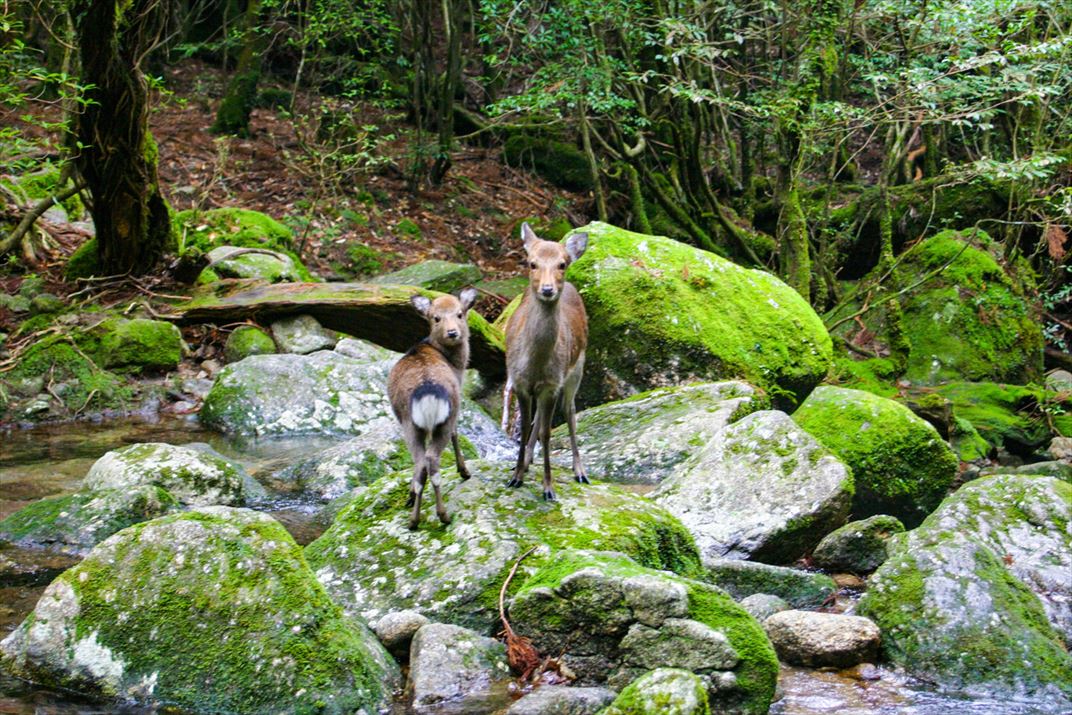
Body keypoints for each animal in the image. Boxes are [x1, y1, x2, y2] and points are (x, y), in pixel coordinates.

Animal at [388, 288, 478, 530]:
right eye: (436, 318)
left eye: (459, 313)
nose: (452, 332)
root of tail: (427, 391)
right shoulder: (457, 406)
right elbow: (457, 433)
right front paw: (464, 471)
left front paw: (409, 497)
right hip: (443, 418)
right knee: (432, 460)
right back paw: (443, 515)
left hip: (409, 423)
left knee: (420, 462)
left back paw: (413, 519)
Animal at [505, 222, 589, 501]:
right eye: (532, 263)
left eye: (562, 264)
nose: (548, 289)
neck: (536, 362)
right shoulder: (520, 381)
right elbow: (525, 429)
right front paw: (516, 476)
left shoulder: (553, 383)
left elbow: (548, 432)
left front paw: (548, 488)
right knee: (539, 417)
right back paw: (528, 461)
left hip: (577, 368)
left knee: (570, 412)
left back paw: (580, 471)